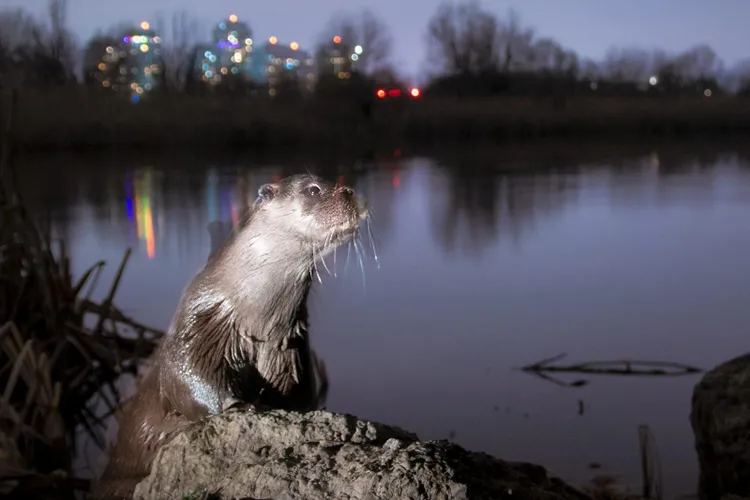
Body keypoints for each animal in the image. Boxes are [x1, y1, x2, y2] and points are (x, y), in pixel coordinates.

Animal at [92, 174, 372, 498]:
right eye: (313, 190)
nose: (350, 191)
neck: (255, 319)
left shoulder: (289, 349)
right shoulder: (197, 324)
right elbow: (187, 376)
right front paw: (241, 405)